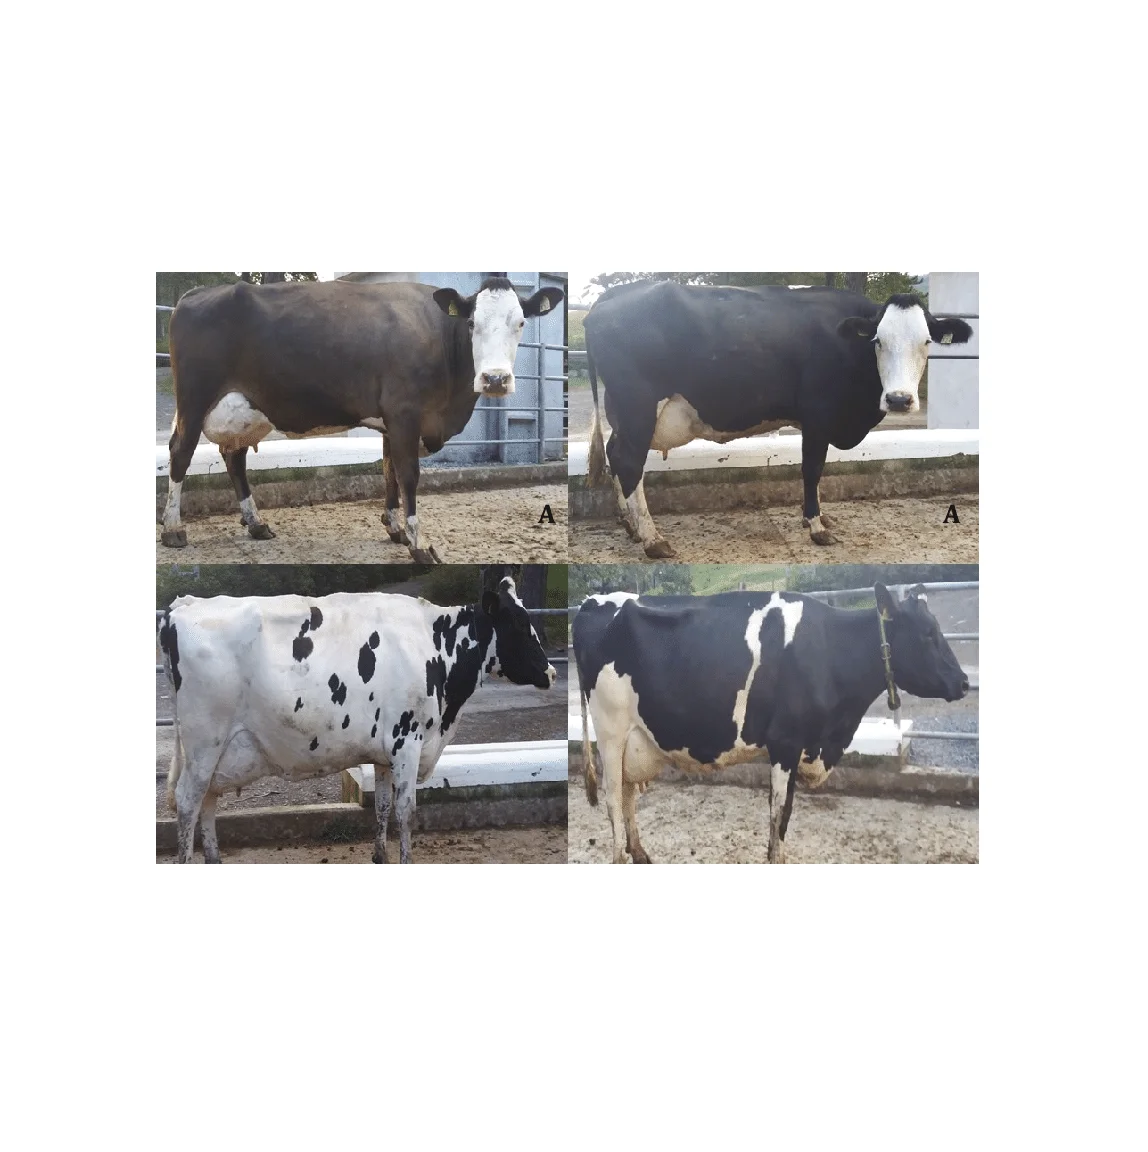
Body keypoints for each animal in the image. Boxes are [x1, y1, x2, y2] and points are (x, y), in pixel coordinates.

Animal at [158, 577, 556, 863]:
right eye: (518, 623)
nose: (551, 671)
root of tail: (184, 606)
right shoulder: (408, 741)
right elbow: (406, 810)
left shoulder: (385, 750)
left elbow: (382, 806)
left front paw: (380, 857)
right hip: (204, 741)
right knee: (189, 801)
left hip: (217, 751)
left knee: (207, 798)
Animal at [160, 276, 564, 563]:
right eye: (471, 323)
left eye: (521, 322)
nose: (495, 379)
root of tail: (196, 294)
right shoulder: (404, 411)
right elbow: (409, 475)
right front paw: (419, 544)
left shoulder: (391, 420)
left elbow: (388, 470)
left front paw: (395, 528)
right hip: (195, 398)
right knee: (181, 452)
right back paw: (173, 528)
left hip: (244, 407)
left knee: (235, 458)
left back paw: (256, 523)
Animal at [574, 584, 969, 863]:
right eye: (928, 633)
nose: (964, 682)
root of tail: (592, 601)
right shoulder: (786, 742)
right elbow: (780, 816)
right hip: (610, 732)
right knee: (613, 798)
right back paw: (621, 857)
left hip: (632, 738)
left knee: (627, 794)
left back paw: (639, 853)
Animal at [583, 282, 973, 556]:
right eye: (878, 340)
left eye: (926, 342)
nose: (899, 399)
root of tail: (613, 296)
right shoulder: (818, 415)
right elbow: (812, 469)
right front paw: (816, 527)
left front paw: (818, 516)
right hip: (637, 405)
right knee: (629, 462)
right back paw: (652, 538)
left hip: (624, 413)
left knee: (615, 453)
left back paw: (630, 525)